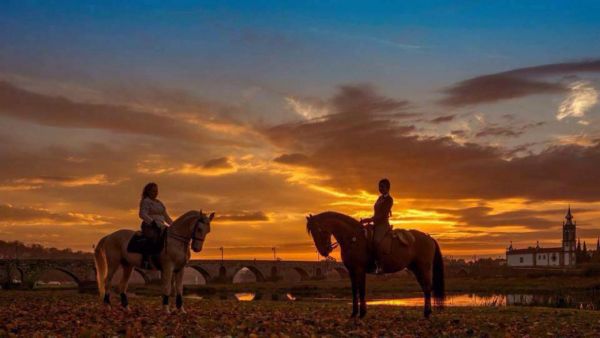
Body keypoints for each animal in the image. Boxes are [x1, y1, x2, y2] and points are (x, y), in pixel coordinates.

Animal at [308, 213, 442, 318]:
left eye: (318, 230)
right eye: (312, 233)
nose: (324, 251)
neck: (354, 238)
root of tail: (429, 238)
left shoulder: (360, 269)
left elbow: (361, 290)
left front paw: (362, 313)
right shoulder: (351, 271)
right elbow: (354, 290)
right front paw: (354, 313)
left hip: (424, 268)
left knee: (427, 287)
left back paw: (427, 313)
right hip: (416, 269)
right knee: (425, 288)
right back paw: (427, 312)